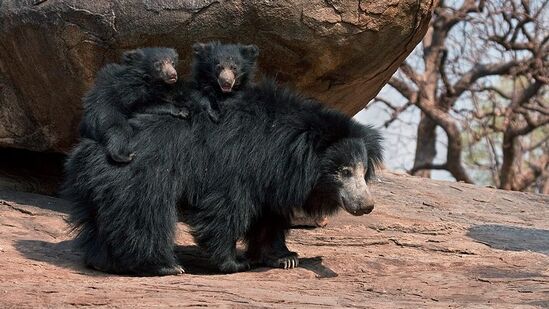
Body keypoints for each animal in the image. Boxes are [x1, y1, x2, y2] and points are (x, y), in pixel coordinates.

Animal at [63, 78, 382, 276]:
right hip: (139, 176)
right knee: (145, 216)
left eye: (362, 171)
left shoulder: (271, 178)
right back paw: (163, 266)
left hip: (106, 185)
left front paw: (286, 258)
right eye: (343, 172)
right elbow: (226, 209)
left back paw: (105, 262)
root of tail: (91, 147)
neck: (285, 149)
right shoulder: (236, 165)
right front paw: (235, 262)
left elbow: (269, 215)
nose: (366, 206)